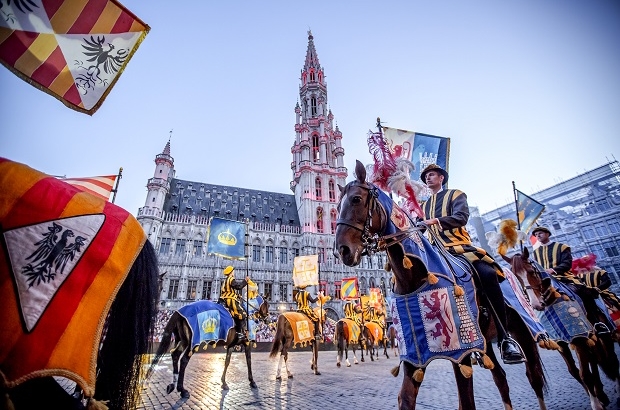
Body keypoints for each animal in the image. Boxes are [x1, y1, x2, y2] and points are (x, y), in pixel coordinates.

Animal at [334, 160, 548, 410]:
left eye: (357, 199)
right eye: (338, 205)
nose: (341, 250)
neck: (415, 278)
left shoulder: (462, 351)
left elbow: (467, 402)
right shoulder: (415, 355)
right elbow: (406, 399)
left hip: (525, 332)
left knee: (534, 379)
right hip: (485, 342)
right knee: (501, 380)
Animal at [504, 248, 620, 408]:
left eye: (531, 272)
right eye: (516, 278)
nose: (536, 304)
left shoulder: (578, 337)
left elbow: (584, 373)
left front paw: (596, 405)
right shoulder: (562, 342)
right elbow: (575, 371)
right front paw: (596, 399)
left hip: (604, 333)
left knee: (611, 358)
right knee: (594, 359)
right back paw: (601, 394)